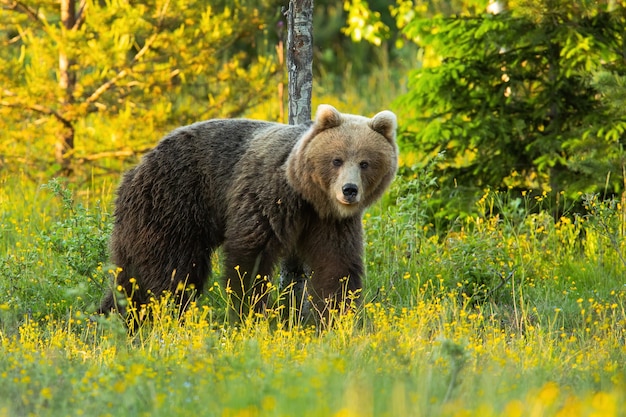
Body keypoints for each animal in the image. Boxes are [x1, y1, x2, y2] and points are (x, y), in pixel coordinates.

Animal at [100, 103, 398, 318]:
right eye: (336, 160)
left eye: (365, 163)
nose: (349, 190)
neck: (306, 196)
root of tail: (138, 166)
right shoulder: (267, 197)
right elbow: (249, 257)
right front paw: (249, 310)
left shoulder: (330, 222)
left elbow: (336, 266)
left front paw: (338, 316)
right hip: (175, 204)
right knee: (173, 268)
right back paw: (168, 312)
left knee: (129, 277)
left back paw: (115, 318)